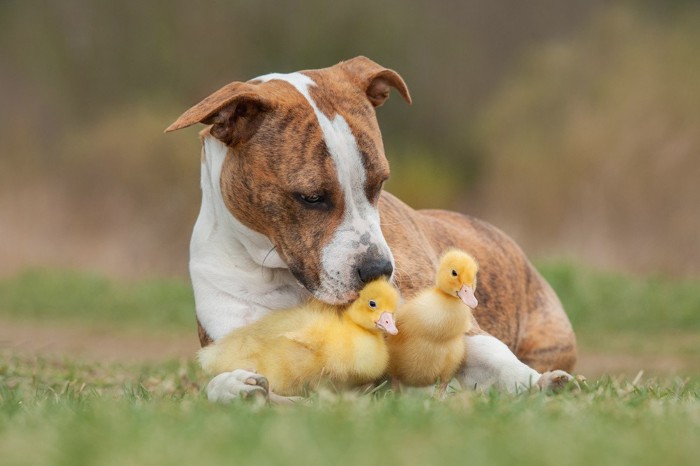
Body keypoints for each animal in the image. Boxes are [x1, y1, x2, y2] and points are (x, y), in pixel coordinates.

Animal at [167, 57, 576, 400]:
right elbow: (229, 385)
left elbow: (493, 356)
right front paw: (237, 387)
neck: (292, 285)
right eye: (310, 197)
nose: (378, 270)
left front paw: (541, 383)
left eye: (379, 183)